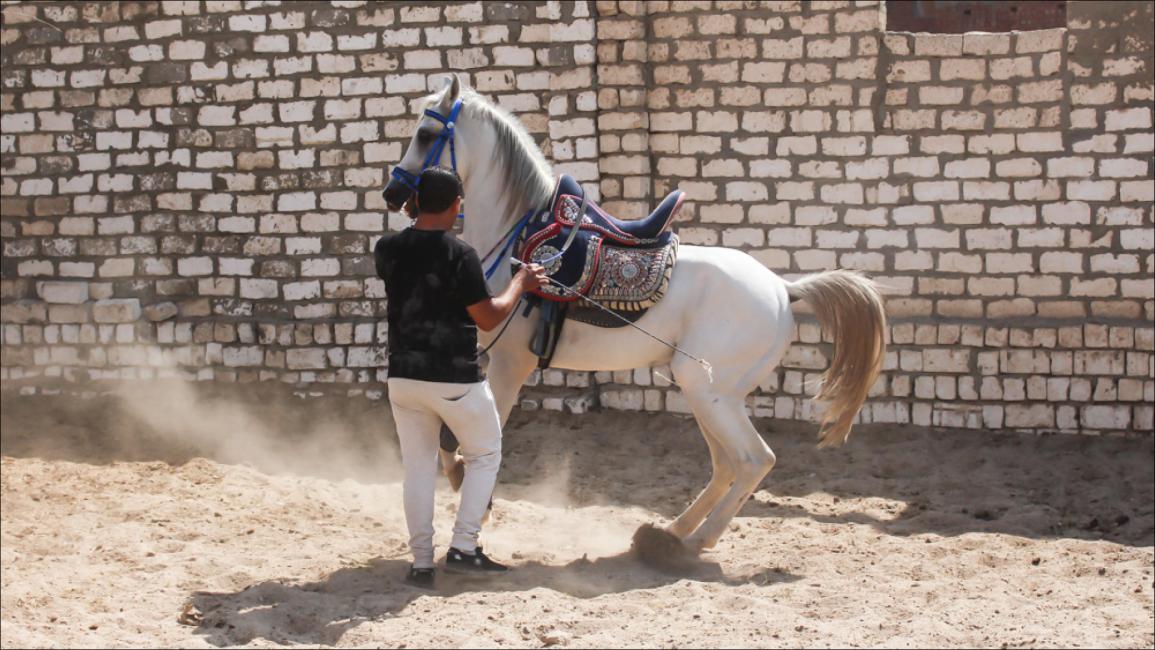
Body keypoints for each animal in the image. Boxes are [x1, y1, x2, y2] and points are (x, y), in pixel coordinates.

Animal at [381, 76, 882, 554]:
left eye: (426, 134)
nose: (392, 191)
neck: (518, 238)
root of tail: (783, 289)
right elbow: (453, 438)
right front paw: (461, 480)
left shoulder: (509, 364)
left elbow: (486, 435)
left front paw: (475, 499)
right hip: (708, 394)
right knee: (726, 465)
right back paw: (672, 532)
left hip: (710, 392)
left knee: (754, 460)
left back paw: (694, 542)